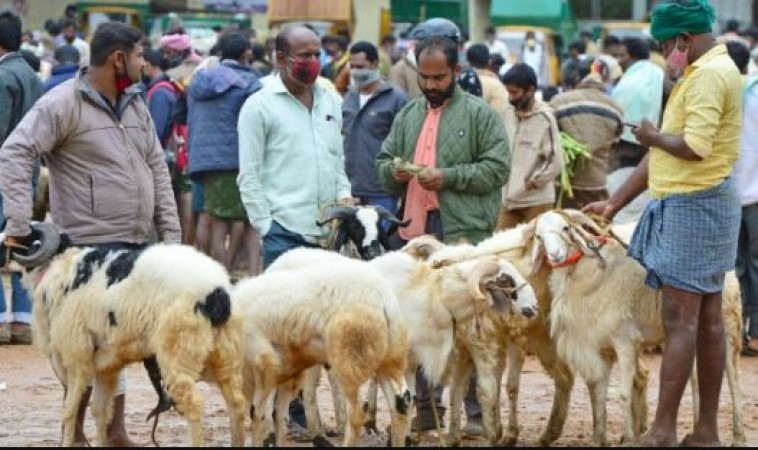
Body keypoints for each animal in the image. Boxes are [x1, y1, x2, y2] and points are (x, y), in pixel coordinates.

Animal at [9, 225, 246, 446]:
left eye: (28, 239)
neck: (61, 268)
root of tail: (218, 292)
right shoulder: (107, 365)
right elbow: (100, 410)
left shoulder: (76, 358)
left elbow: (69, 410)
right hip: (225, 356)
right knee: (237, 403)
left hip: (178, 353)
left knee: (194, 404)